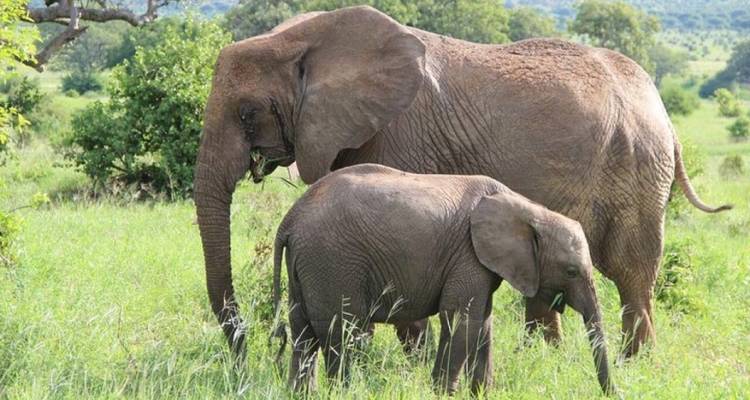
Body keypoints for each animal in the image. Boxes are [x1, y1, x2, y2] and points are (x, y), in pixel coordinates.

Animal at [193, 6, 731, 358]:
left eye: (247, 113)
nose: (252, 350)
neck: (301, 37)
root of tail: (661, 107)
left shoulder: (400, 131)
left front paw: (409, 367)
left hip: (637, 165)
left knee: (631, 270)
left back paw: (635, 363)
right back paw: (541, 361)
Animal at [270, 164, 614, 395]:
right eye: (571, 271)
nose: (611, 392)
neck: (529, 209)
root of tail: (290, 219)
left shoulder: (479, 262)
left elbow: (482, 323)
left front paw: (481, 393)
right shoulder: (467, 254)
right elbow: (463, 320)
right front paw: (443, 393)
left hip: (310, 267)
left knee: (304, 333)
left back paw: (300, 393)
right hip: (333, 262)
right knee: (345, 333)